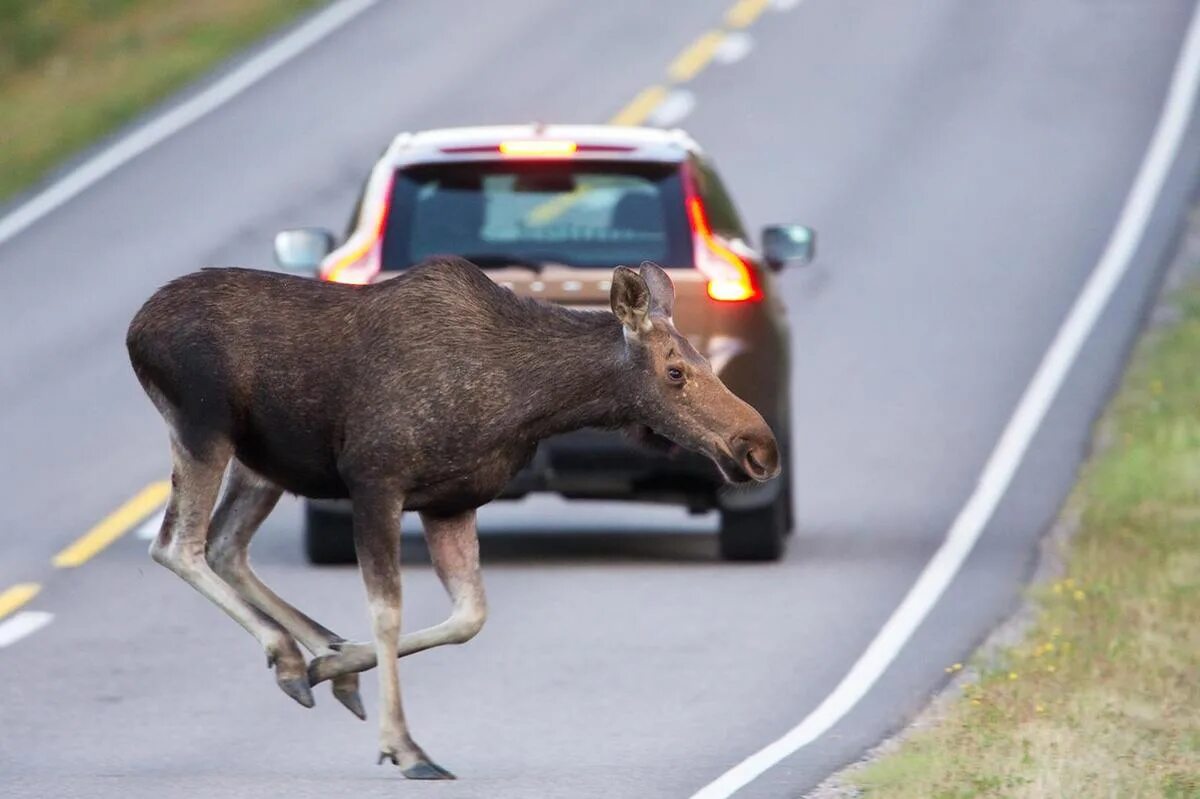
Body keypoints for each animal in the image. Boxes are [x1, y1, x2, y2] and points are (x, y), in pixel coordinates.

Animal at [126, 256, 782, 777]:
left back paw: (319, 659)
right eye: (676, 372)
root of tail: (137, 328)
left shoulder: (451, 502)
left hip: (264, 464)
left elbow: (469, 616)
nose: (760, 449)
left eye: (709, 364)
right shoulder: (374, 482)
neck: (526, 402)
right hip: (204, 429)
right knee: (177, 543)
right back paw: (291, 655)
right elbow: (388, 613)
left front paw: (338, 664)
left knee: (226, 545)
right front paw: (405, 748)